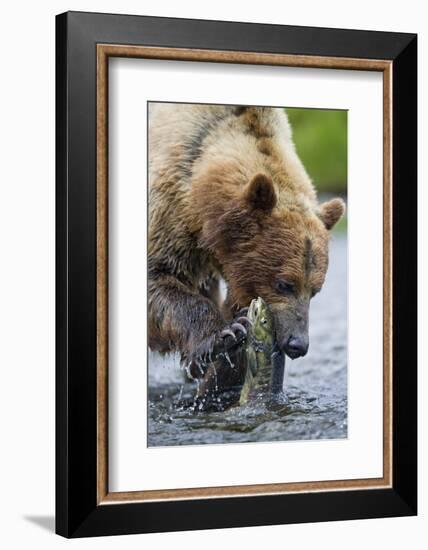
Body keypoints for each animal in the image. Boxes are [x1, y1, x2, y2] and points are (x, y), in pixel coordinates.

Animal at [147, 104, 344, 392]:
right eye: (285, 284)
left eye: (315, 291)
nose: (298, 344)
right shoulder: (170, 209)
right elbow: (159, 278)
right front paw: (226, 334)